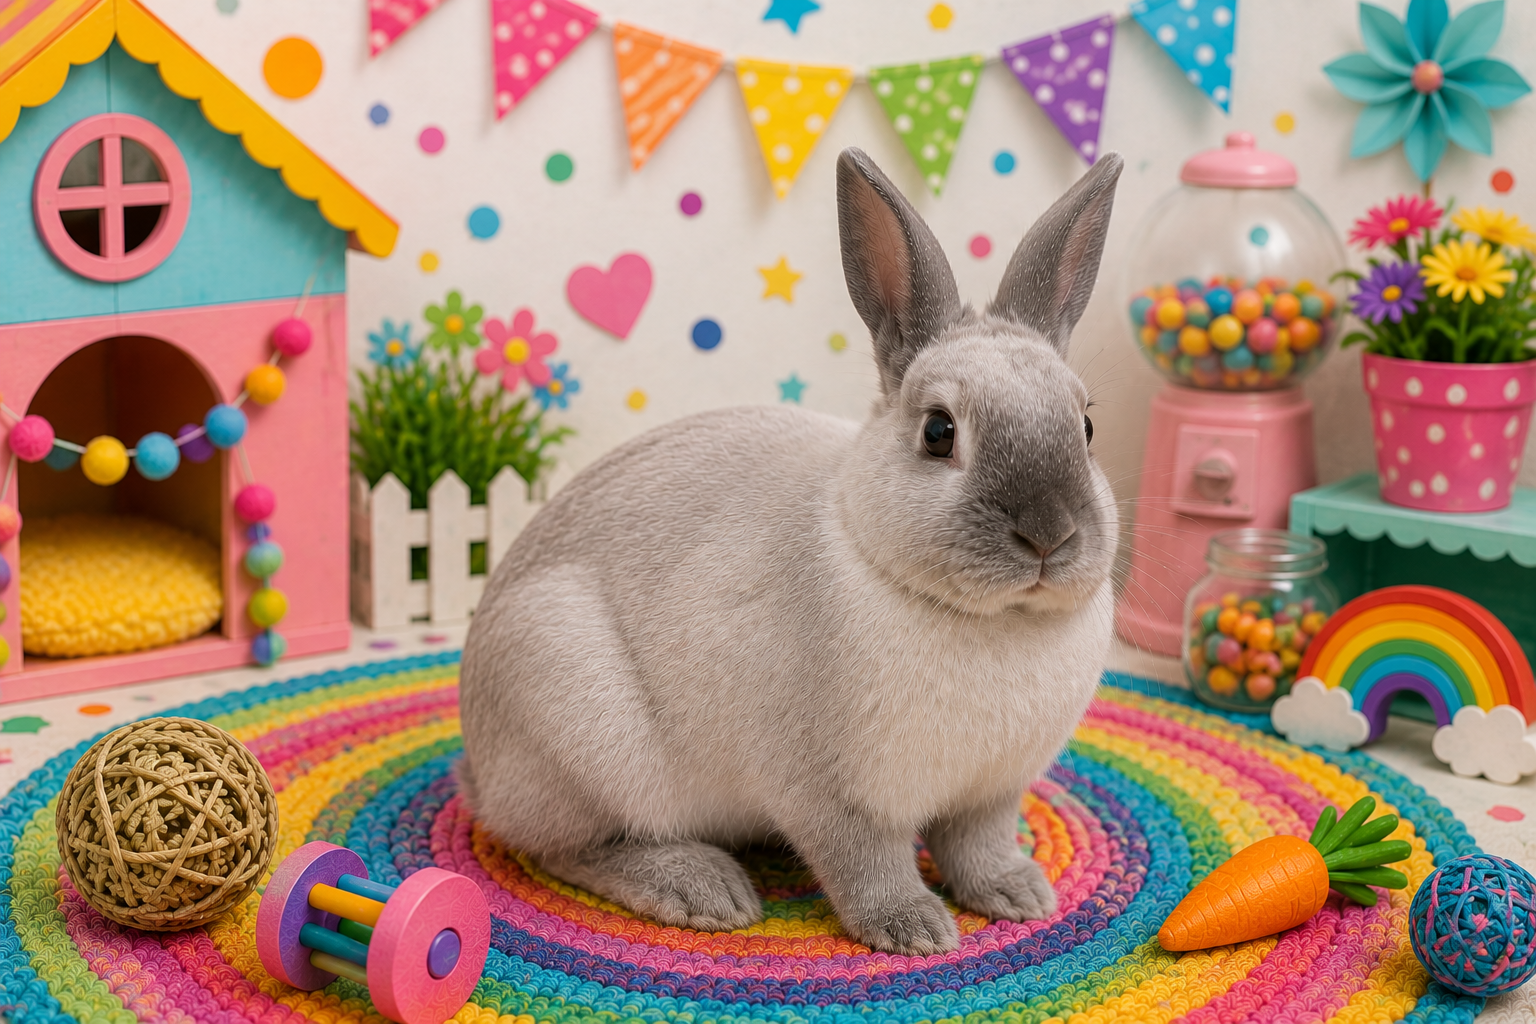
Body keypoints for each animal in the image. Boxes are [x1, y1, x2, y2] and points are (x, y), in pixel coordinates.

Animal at [458, 146, 1124, 956]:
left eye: (1085, 427)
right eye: (939, 432)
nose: (1049, 534)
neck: (991, 619)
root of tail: (480, 770)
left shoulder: (991, 792)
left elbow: (978, 846)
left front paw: (1019, 895)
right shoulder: (828, 794)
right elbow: (865, 865)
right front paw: (916, 931)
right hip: (576, 732)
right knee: (565, 849)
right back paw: (703, 890)